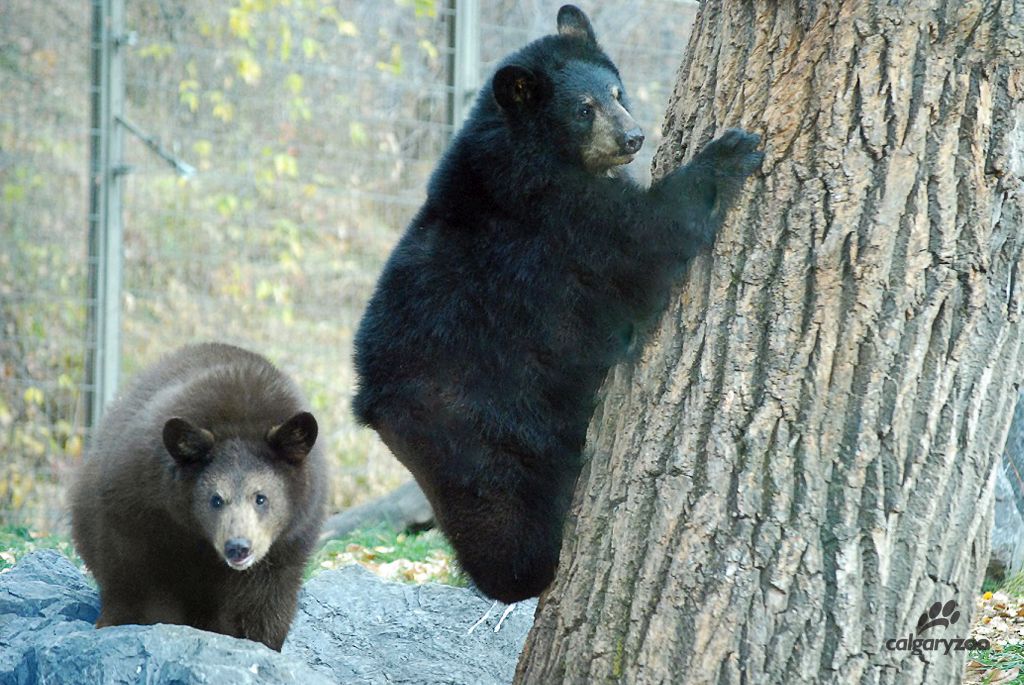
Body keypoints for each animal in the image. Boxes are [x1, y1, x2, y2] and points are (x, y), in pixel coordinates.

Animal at [70, 342, 327, 651]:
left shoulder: (288, 543)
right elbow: (134, 575)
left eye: (261, 497)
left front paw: (258, 640)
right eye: (215, 499)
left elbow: (265, 600)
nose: (238, 547)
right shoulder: (138, 507)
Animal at [352, 5, 763, 603]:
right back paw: (525, 571)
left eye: (618, 91)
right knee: (508, 508)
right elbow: (642, 236)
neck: (529, 155)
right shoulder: (556, 217)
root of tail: (377, 414)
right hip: (489, 424)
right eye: (583, 109)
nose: (634, 137)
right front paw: (730, 152)